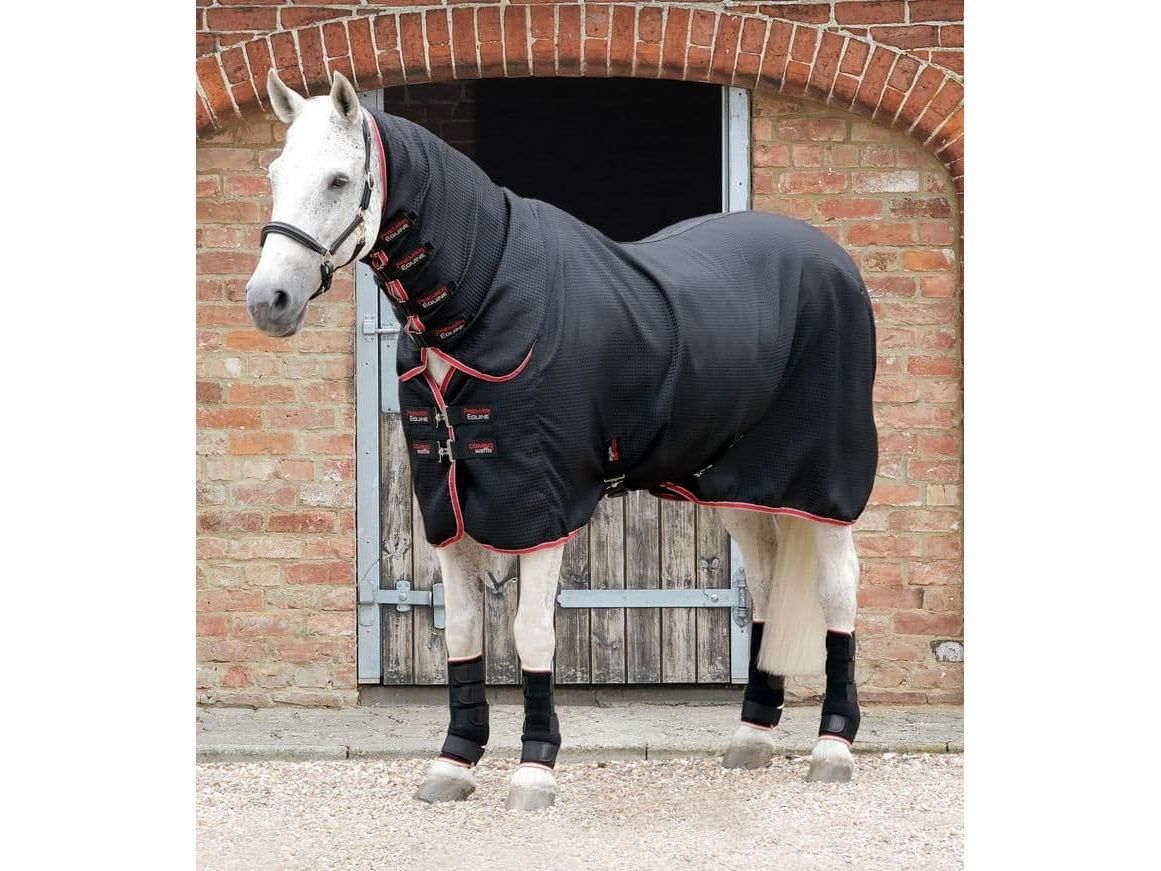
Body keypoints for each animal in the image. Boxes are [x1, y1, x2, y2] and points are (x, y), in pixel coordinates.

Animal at [245, 69, 877, 810]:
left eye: (340, 179)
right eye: (276, 172)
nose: (269, 301)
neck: (481, 301)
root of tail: (831, 259)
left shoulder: (539, 506)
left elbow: (531, 631)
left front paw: (533, 769)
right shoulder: (445, 507)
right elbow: (464, 631)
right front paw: (453, 762)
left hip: (822, 482)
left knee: (838, 590)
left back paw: (832, 747)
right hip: (735, 487)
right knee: (770, 585)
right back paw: (750, 738)